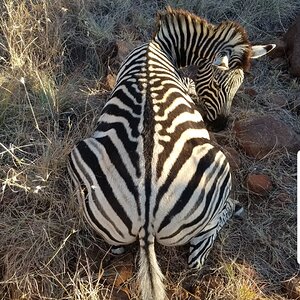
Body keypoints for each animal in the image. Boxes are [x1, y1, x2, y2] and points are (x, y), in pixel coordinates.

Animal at [68, 7, 274, 300]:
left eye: (237, 87)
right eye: (217, 83)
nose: (220, 126)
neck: (159, 46)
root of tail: (146, 214)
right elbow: (188, 83)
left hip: (81, 159)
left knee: (117, 247)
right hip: (220, 167)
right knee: (199, 251)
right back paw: (234, 208)